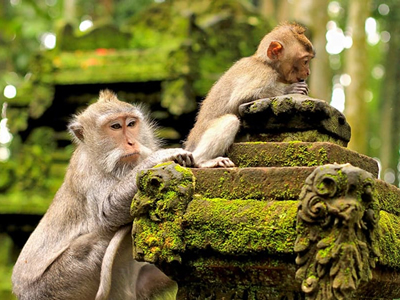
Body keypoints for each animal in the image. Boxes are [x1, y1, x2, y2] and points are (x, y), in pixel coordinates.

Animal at [12, 89, 194, 300]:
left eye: (131, 124)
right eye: (115, 126)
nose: (132, 142)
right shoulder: (87, 172)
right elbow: (107, 212)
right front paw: (160, 156)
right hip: (53, 286)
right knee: (96, 242)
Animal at [185, 22, 316, 169]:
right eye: (305, 61)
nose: (308, 72)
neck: (264, 62)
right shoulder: (263, 73)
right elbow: (238, 100)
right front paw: (290, 89)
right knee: (230, 120)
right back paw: (202, 161)